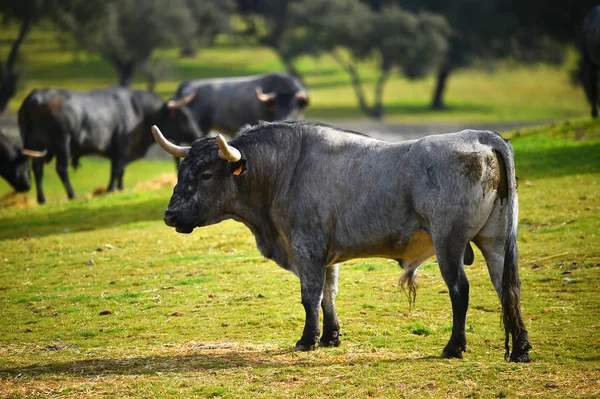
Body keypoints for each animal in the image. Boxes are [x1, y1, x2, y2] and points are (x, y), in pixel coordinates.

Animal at [19, 88, 199, 205]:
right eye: (182, 116)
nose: (197, 133)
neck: (140, 112)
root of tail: (36, 97)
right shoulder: (120, 146)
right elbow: (116, 169)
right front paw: (112, 189)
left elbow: (120, 170)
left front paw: (120, 187)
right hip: (62, 143)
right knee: (61, 169)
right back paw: (72, 195)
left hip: (37, 144)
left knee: (38, 170)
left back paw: (41, 199)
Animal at [152, 121, 532, 362]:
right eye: (181, 172)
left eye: (205, 174)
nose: (170, 216)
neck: (285, 169)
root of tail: (480, 136)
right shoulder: (326, 255)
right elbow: (328, 295)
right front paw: (330, 336)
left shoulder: (306, 247)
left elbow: (310, 296)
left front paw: (307, 340)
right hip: (496, 241)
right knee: (507, 288)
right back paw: (521, 348)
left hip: (448, 243)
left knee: (460, 290)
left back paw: (454, 347)